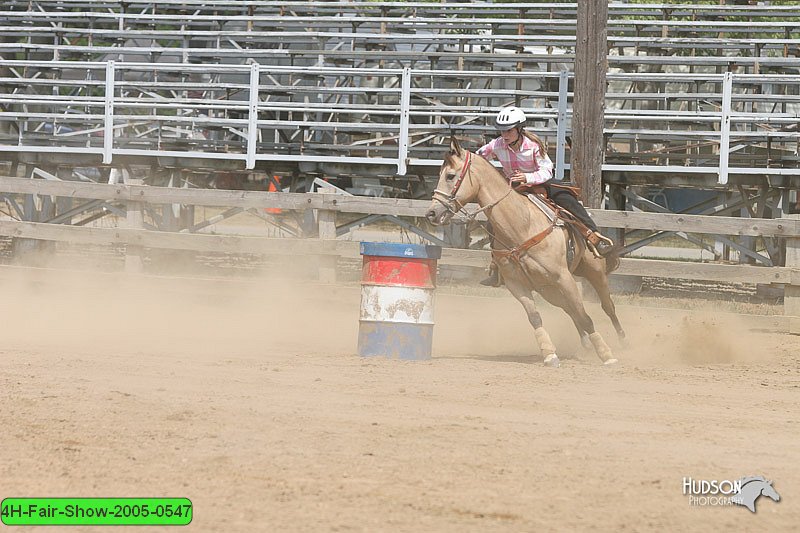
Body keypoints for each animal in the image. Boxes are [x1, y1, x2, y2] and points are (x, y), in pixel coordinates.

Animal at [424, 136, 624, 366]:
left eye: (450, 176)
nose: (431, 213)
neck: (521, 226)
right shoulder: (516, 284)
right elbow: (535, 317)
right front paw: (549, 354)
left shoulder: (563, 277)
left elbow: (585, 316)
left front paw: (606, 354)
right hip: (548, 289)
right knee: (569, 308)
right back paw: (584, 343)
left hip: (594, 272)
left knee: (607, 306)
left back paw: (622, 342)